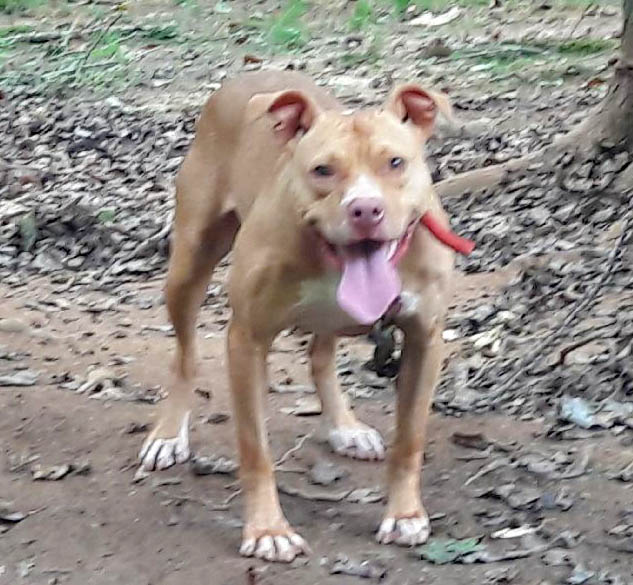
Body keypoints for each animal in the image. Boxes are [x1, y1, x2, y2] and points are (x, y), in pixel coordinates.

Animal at [139, 70, 455, 562]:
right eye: (322, 170)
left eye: (395, 162)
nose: (365, 209)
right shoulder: (247, 339)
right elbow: (255, 449)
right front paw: (268, 530)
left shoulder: (425, 339)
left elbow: (410, 439)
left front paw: (404, 514)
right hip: (188, 265)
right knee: (186, 355)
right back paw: (170, 433)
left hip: (332, 317)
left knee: (320, 354)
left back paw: (344, 426)